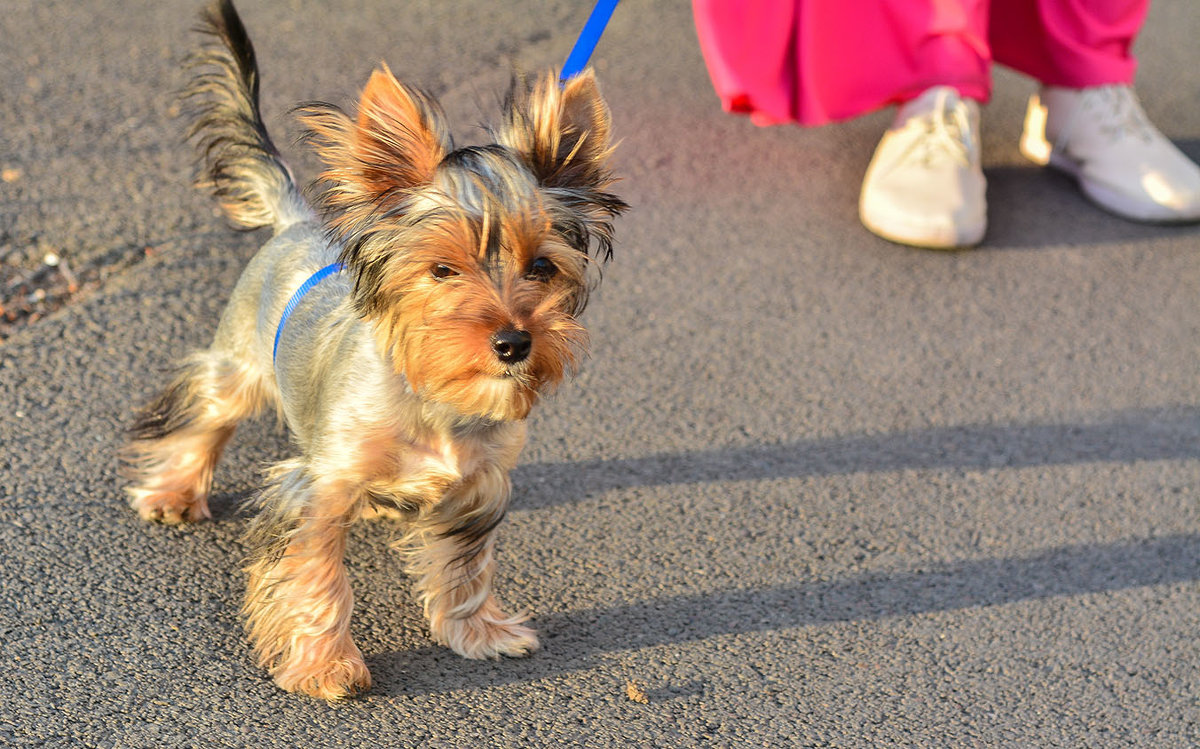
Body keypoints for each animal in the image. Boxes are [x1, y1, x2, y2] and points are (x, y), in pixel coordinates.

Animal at [121, 0, 624, 700]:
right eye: (442, 270)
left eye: (542, 267)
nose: (513, 342)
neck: (434, 397)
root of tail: (297, 220)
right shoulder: (317, 489)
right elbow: (313, 575)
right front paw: (325, 665)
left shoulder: (481, 485)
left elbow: (467, 566)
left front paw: (481, 632)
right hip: (238, 362)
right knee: (205, 411)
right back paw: (173, 493)